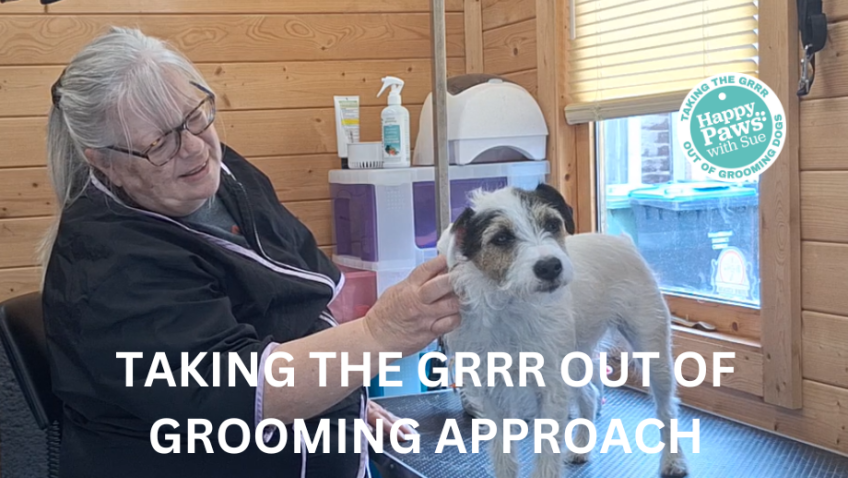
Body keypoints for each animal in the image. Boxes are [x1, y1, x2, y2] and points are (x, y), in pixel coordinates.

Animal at [437, 183, 689, 478]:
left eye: (552, 224)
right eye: (501, 238)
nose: (549, 266)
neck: (511, 305)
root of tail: (622, 241)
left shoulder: (551, 389)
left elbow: (547, 452)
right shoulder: (492, 397)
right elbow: (503, 453)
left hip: (652, 352)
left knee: (667, 409)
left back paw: (673, 460)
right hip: (576, 359)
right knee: (590, 396)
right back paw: (581, 448)